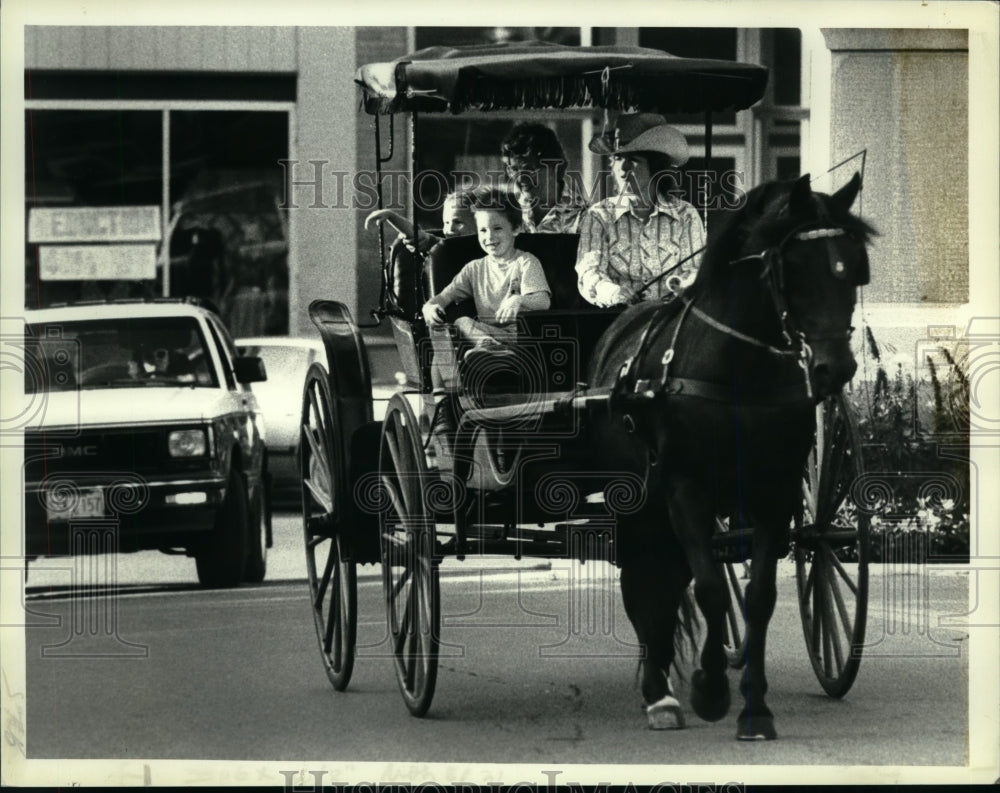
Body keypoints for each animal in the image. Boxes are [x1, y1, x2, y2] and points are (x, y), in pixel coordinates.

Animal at [584, 172, 876, 736]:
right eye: (795, 268)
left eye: (854, 267)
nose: (835, 369)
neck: (738, 368)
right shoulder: (685, 489)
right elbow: (710, 591)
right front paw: (711, 689)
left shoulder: (774, 492)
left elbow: (758, 596)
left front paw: (755, 707)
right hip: (637, 501)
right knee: (644, 580)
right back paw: (658, 691)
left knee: (667, 578)